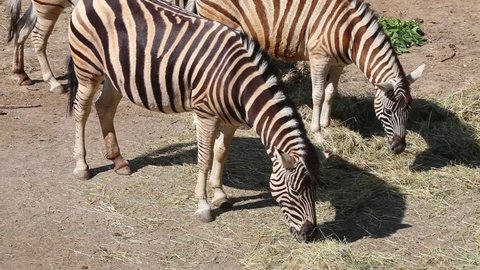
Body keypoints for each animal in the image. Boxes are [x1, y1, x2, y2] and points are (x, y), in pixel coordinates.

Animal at [67, 0, 326, 243]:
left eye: (316, 188)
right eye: (295, 191)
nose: (310, 234)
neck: (239, 84)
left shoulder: (231, 120)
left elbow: (221, 153)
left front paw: (220, 194)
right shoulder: (205, 115)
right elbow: (204, 159)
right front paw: (203, 206)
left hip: (116, 73)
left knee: (105, 107)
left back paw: (118, 161)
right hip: (88, 68)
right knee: (82, 111)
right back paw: (81, 166)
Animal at [189, 0, 426, 153]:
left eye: (409, 109)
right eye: (388, 111)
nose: (399, 148)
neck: (351, 34)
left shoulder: (338, 64)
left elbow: (331, 93)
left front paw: (328, 127)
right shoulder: (319, 57)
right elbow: (318, 95)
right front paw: (318, 134)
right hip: (219, 19)